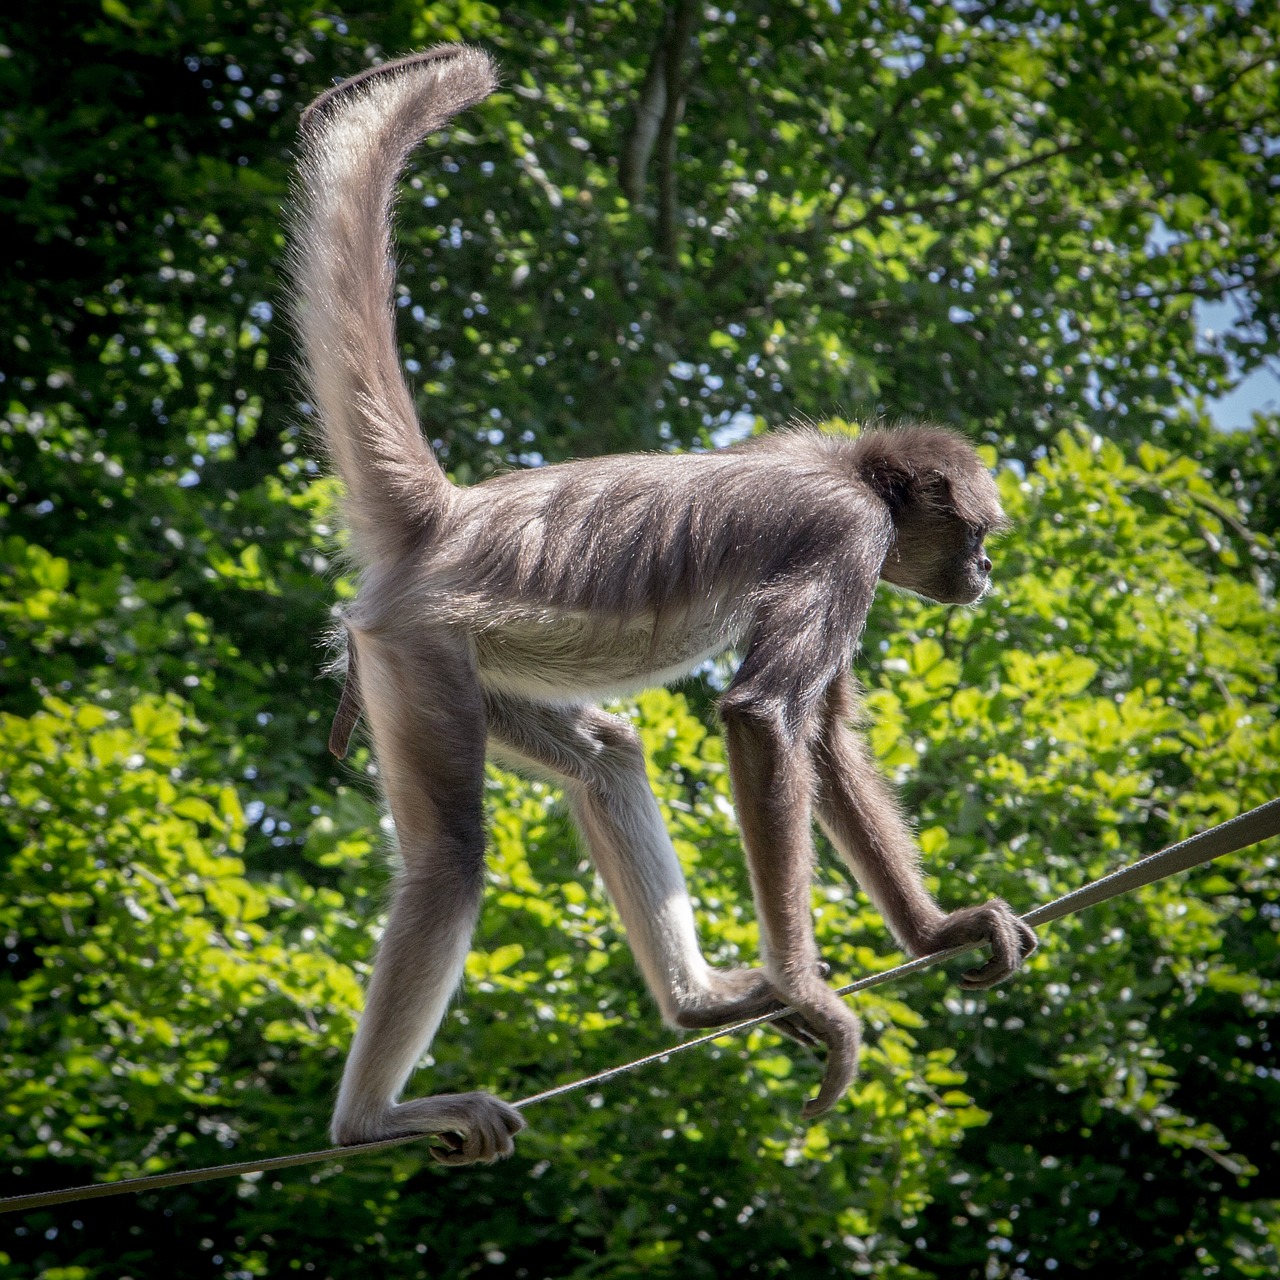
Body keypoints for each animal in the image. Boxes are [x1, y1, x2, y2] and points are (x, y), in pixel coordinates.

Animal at [289, 45, 1037, 1166]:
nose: (983, 574)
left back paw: (696, 1003)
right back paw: (370, 1118)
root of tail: (448, 519)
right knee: (453, 854)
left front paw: (937, 933)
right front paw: (808, 990)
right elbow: (764, 717)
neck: (847, 467)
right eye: (981, 538)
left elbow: (821, 738)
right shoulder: (847, 535)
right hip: (416, 649)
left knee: (606, 754)